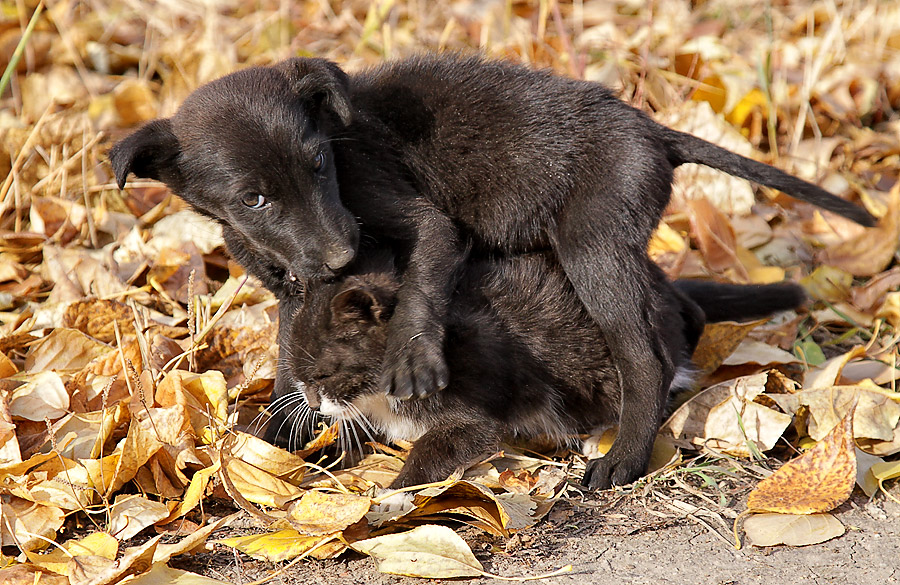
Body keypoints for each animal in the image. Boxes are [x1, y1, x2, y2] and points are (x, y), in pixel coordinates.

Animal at [107, 54, 872, 486]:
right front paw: (281, 432)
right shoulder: (289, 282)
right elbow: (292, 346)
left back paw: (622, 457)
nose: (340, 255)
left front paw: (411, 368)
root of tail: (653, 130)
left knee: (645, 358)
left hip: (593, 249)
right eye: (253, 198)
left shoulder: (418, 224)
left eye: (321, 162)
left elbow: (417, 294)